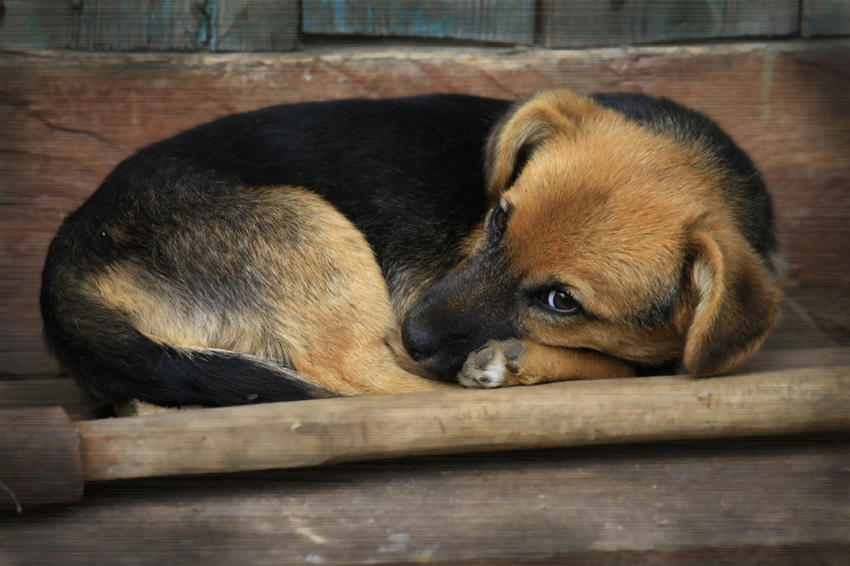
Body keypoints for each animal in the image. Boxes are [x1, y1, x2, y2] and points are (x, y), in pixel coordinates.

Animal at [39, 90, 780, 408]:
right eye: (496, 221)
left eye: (561, 300)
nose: (413, 332)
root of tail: (68, 252)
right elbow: (622, 366)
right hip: (316, 228)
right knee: (366, 382)